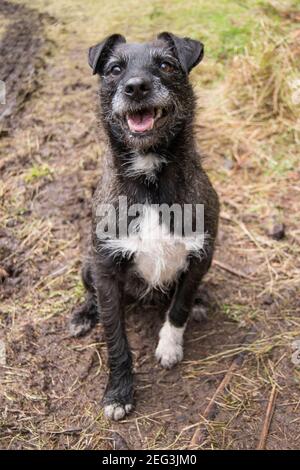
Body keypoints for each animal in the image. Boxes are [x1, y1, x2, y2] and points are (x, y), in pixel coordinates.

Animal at [70, 33, 220, 422]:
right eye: (114, 69)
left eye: (166, 65)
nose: (136, 87)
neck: (150, 179)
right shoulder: (106, 270)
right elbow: (115, 339)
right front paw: (119, 392)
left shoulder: (201, 255)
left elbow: (179, 305)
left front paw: (170, 344)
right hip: (88, 266)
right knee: (90, 293)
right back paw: (83, 315)